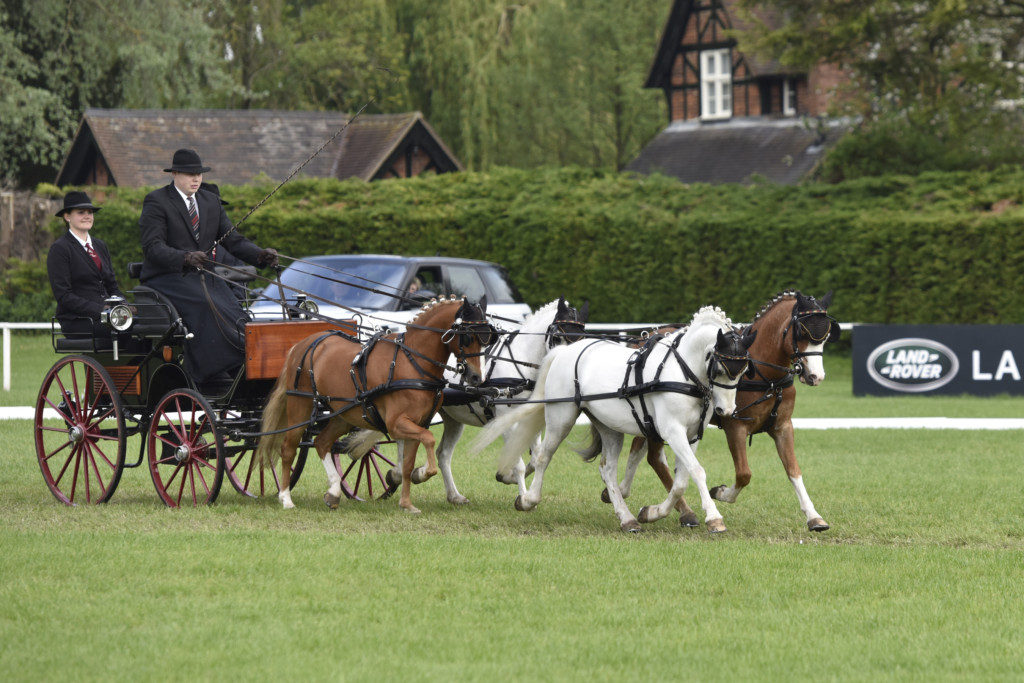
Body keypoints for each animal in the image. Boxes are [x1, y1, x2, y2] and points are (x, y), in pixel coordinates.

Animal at [258, 296, 493, 516]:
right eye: (468, 336)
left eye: (488, 339)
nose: (476, 377)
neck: (412, 362)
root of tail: (302, 344)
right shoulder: (397, 424)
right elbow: (429, 441)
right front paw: (422, 474)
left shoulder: (419, 423)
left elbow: (408, 463)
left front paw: (406, 503)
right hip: (301, 406)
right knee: (288, 448)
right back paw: (286, 497)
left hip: (343, 415)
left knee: (322, 443)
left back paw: (333, 492)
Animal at [342, 296, 589, 501]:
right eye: (558, 336)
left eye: (582, 338)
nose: (567, 364)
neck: (518, 365)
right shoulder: (504, 420)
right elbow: (518, 462)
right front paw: (521, 495)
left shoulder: (530, 422)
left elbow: (534, 457)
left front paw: (510, 479)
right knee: (405, 442)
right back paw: (401, 474)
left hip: (451, 419)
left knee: (441, 454)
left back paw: (451, 494)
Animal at [468, 305, 753, 532]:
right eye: (720, 367)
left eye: (744, 369)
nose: (726, 411)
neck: (681, 372)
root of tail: (565, 351)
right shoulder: (672, 431)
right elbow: (696, 471)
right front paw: (714, 518)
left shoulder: (691, 436)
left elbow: (682, 480)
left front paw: (652, 513)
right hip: (561, 418)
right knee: (542, 457)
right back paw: (528, 500)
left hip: (608, 426)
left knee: (607, 469)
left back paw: (628, 519)